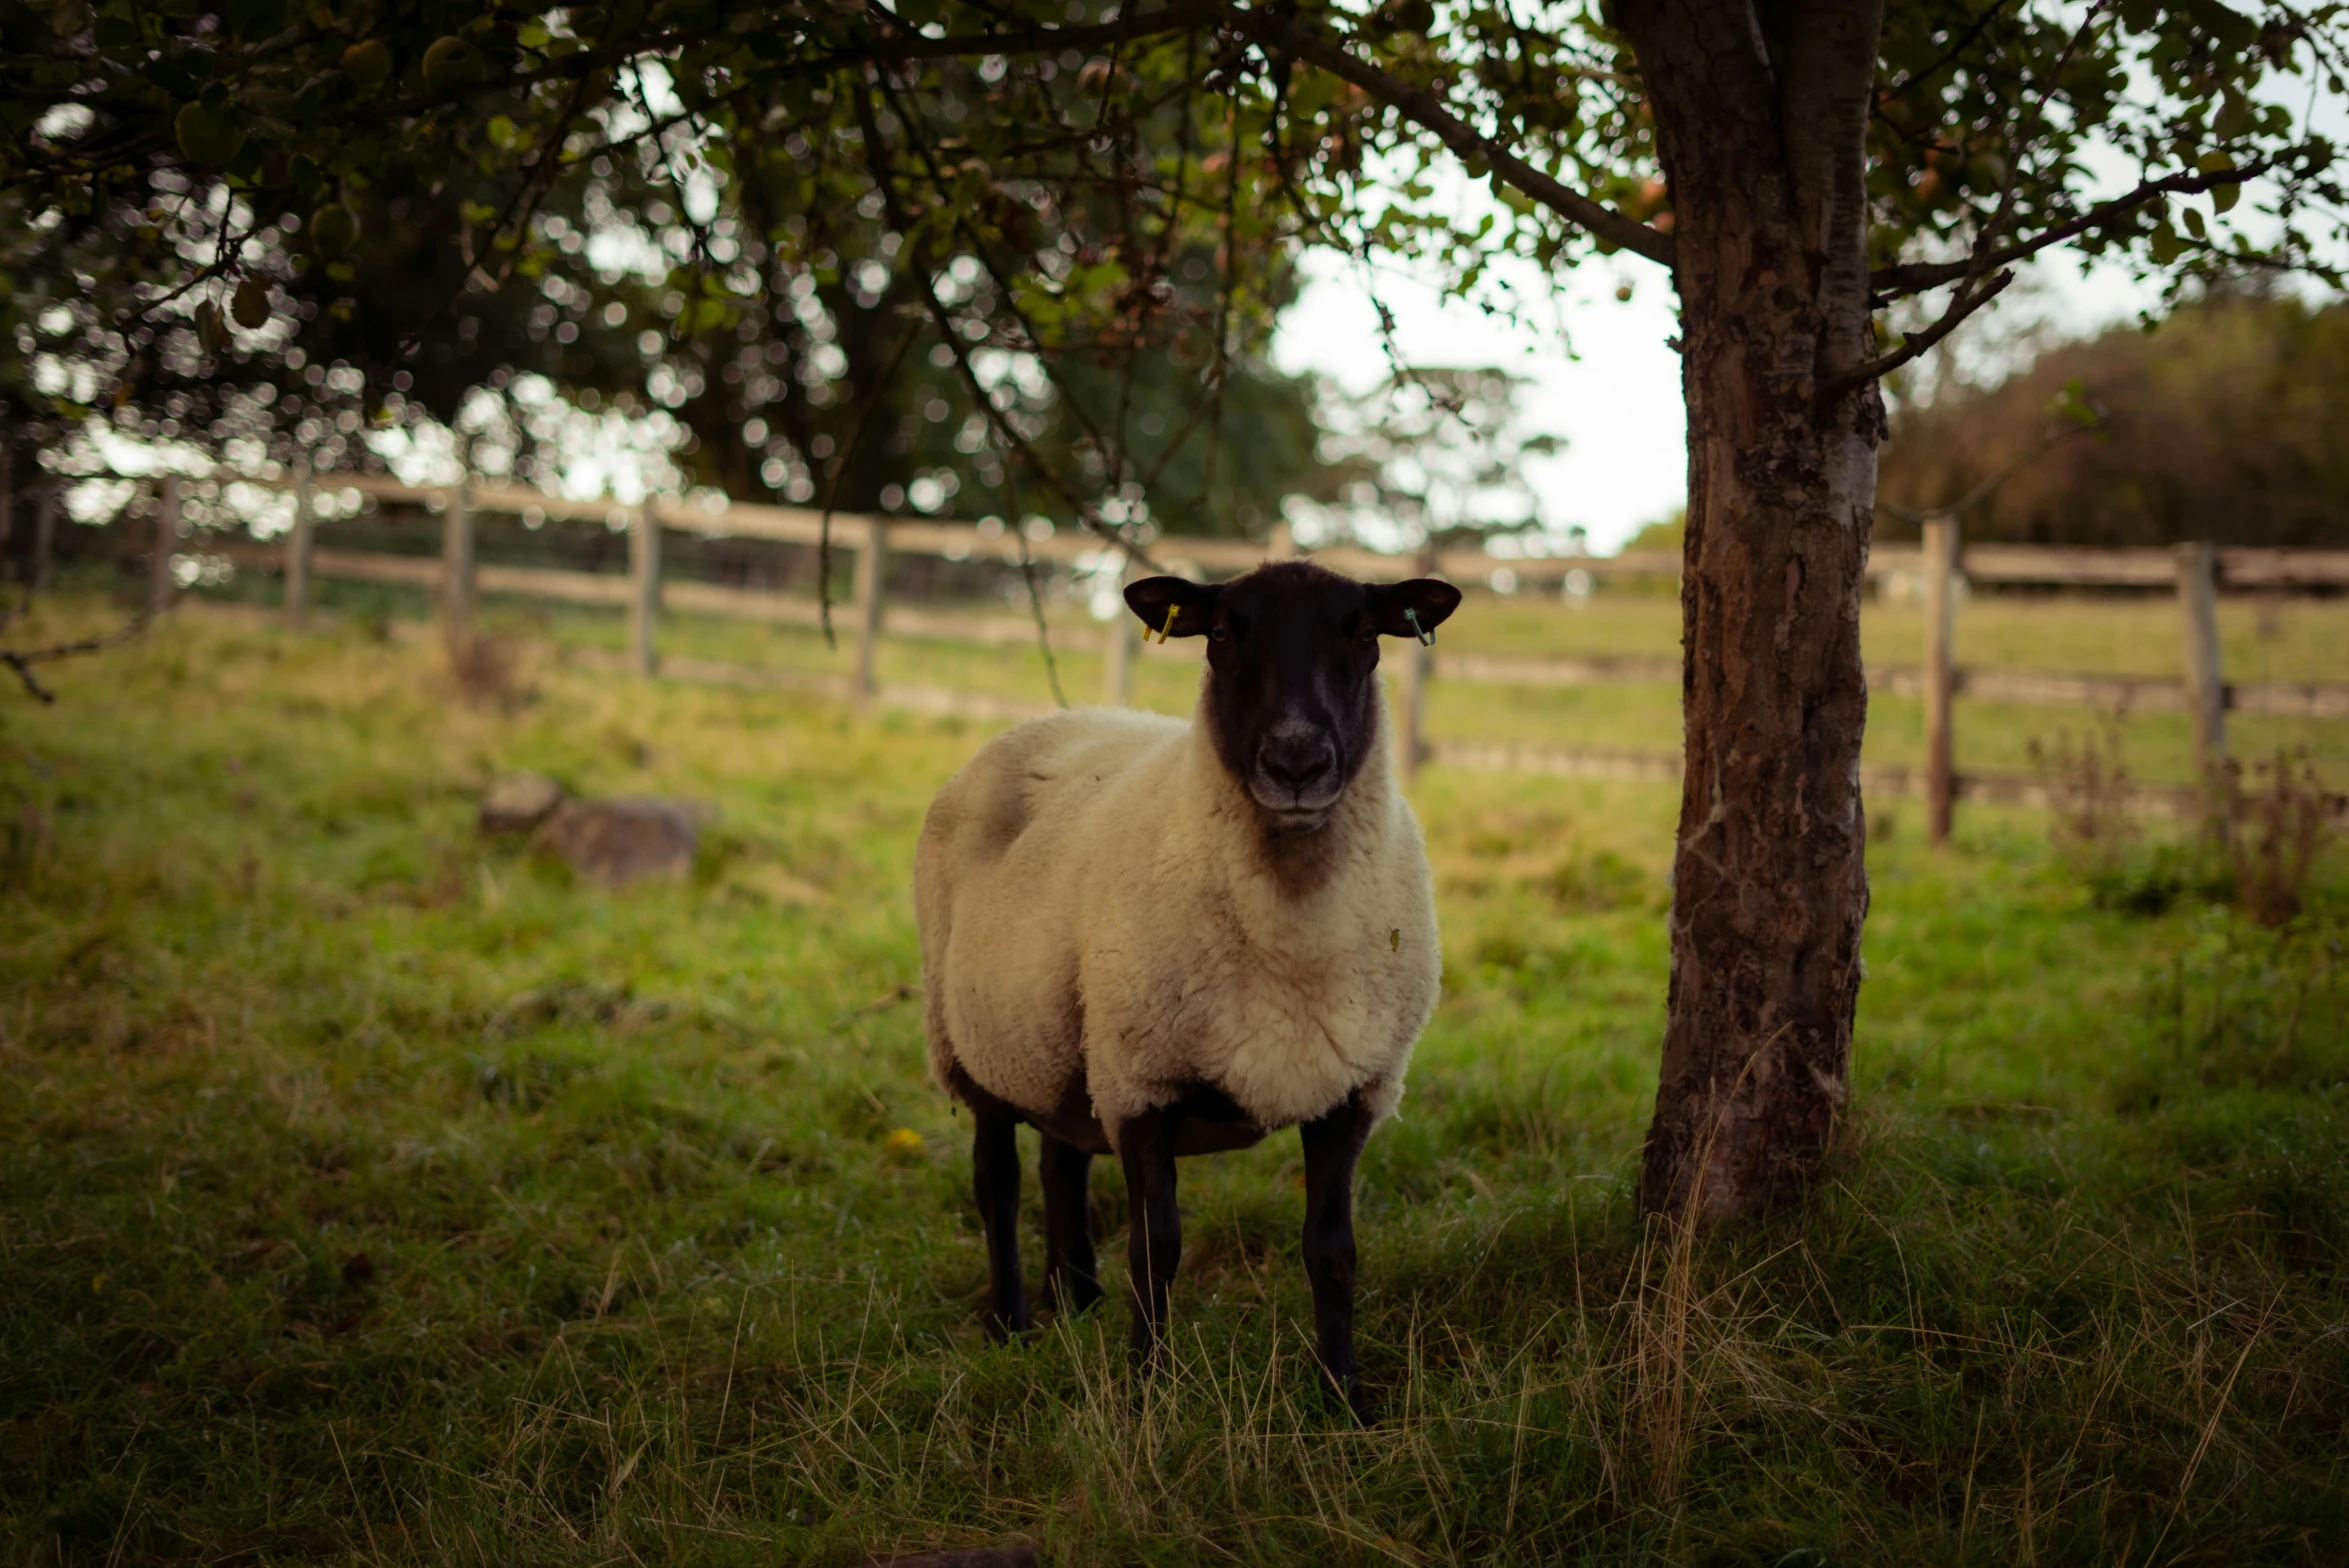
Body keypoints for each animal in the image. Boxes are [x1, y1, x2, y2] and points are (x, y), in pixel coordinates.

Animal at [911, 561, 1446, 1408]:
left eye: (1363, 632)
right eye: (1222, 631)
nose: (1296, 765)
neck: (1289, 932)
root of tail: (1048, 719)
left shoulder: (1353, 1088)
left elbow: (1331, 1250)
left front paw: (1342, 1397)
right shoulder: (1141, 1082)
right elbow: (1154, 1248)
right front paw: (1146, 1392)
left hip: (1065, 1041)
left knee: (1061, 1159)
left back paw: (1077, 1301)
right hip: (972, 1040)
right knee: (996, 1179)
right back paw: (1011, 1324)